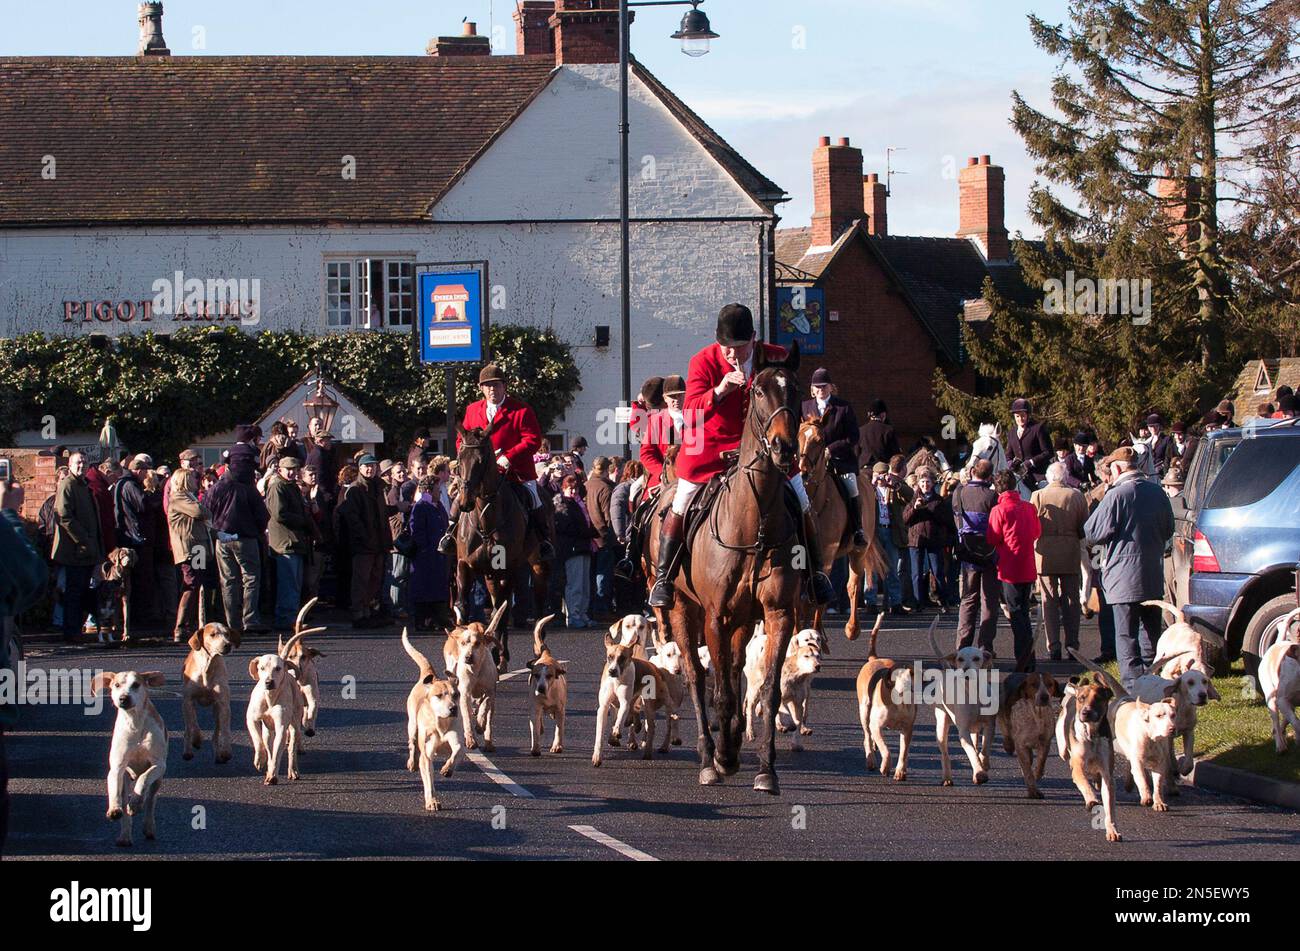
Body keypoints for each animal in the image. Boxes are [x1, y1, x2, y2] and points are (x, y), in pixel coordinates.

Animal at [452, 420, 548, 670]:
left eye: (481, 460)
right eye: (460, 457)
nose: (464, 502)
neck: (485, 518)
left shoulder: (507, 568)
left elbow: (500, 613)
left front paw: (496, 655)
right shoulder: (464, 565)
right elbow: (464, 607)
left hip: (535, 567)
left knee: (538, 604)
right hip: (491, 576)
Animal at [655, 342, 806, 795]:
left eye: (796, 389)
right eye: (757, 391)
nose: (784, 448)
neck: (754, 520)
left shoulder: (777, 614)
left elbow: (769, 691)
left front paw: (765, 770)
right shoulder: (715, 617)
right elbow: (719, 690)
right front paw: (720, 757)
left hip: (742, 620)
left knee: (736, 671)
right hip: (683, 610)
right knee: (697, 676)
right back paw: (711, 754)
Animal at [795, 415, 889, 646]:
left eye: (820, 441)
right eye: (797, 437)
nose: (802, 472)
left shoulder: (826, 555)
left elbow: (815, 597)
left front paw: (815, 635)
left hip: (858, 551)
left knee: (852, 585)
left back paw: (851, 629)